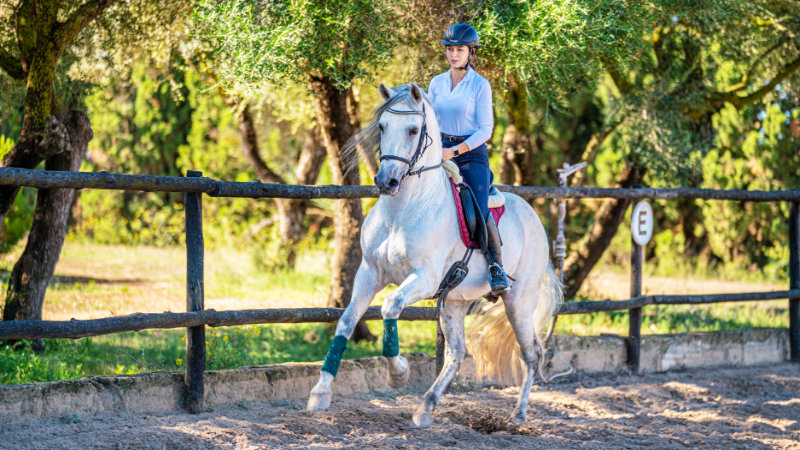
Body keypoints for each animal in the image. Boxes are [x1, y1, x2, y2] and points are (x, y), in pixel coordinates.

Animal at [306, 83, 564, 426]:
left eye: (414, 130)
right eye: (382, 126)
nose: (385, 181)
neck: (401, 211)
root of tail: (532, 215)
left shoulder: (424, 279)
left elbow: (389, 307)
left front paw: (398, 374)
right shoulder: (369, 273)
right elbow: (346, 321)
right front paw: (320, 393)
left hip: (518, 302)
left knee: (531, 353)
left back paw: (519, 413)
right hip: (455, 302)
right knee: (457, 353)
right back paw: (426, 407)